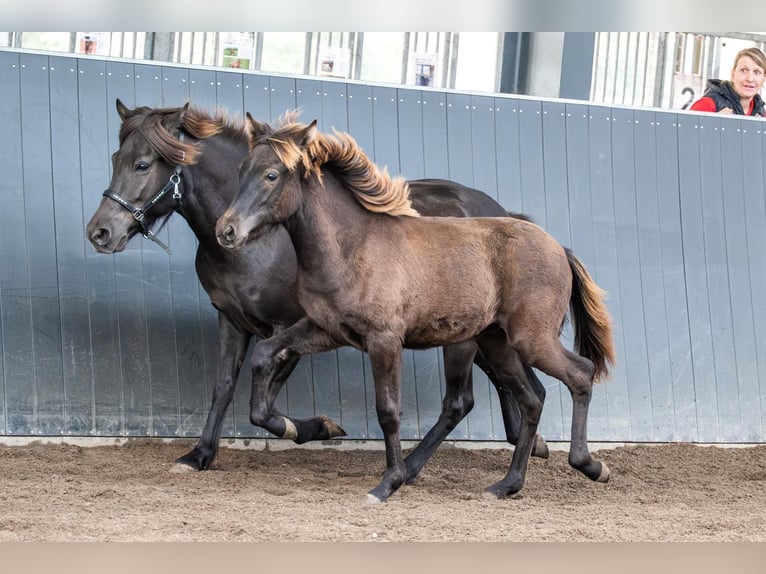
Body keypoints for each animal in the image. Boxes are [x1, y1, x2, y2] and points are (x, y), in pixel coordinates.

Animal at [85, 99, 550, 481]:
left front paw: (317, 427)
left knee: (471, 398)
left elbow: (264, 407)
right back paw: (532, 447)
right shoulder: (232, 320)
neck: (261, 241)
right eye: (115, 158)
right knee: (520, 385)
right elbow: (225, 385)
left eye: (144, 164)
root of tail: (499, 212)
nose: (100, 232)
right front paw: (199, 455)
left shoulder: (288, 325)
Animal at [216, 114, 616, 503]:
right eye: (241, 169)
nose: (226, 231)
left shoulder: (385, 340)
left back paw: (591, 465)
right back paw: (506, 485)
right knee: (531, 399)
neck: (353, 246)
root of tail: (559, 248)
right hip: (496, 343)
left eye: (272, 175)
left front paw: (387, 484)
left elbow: (388, 411)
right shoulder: (326, 330)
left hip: (528, 339)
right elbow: (265, 354)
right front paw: (289, 424)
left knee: (579, 374)